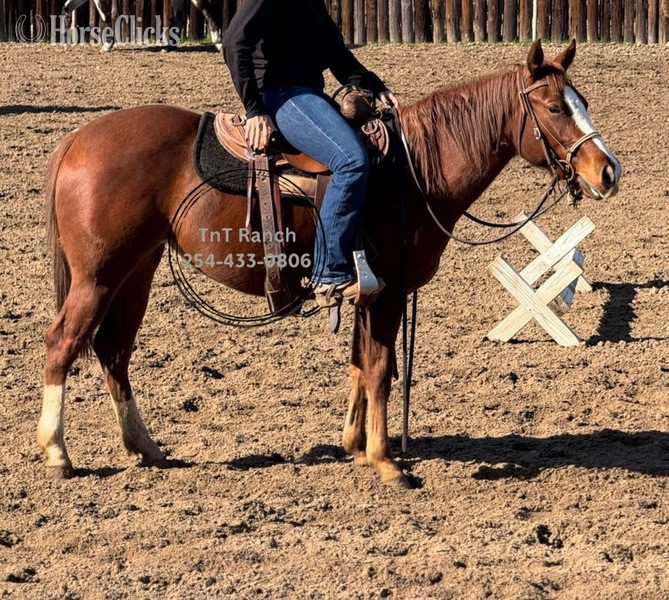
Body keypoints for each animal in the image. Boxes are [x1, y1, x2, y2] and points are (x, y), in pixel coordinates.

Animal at [39, 40, 621, 486]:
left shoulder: (367, 292)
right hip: (98, 276)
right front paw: (387, 462)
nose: (608, 171)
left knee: (113, 351)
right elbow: (381, 368)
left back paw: (147, 448)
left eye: (583, 101)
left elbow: (360, 363)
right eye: (554, 108)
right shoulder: (388, 293)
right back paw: (57, 453)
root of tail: (77, 139)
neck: (412, 171)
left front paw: (356, 445)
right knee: (63, 343)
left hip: (136, 270)